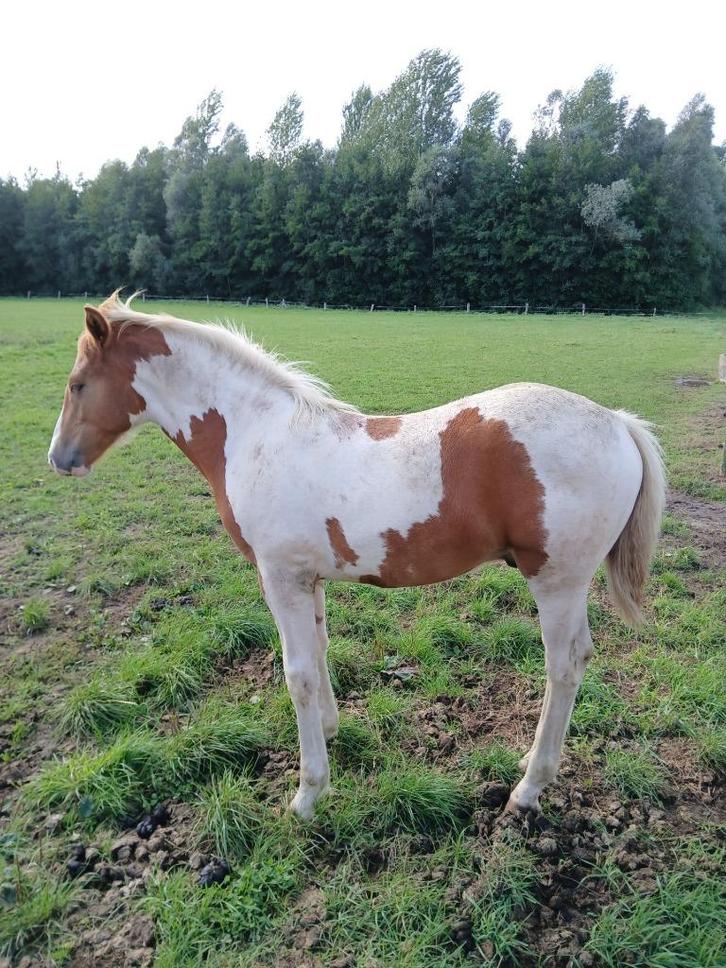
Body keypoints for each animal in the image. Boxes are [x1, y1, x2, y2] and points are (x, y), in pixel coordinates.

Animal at [48, 294, 666, 820]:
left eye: (78, 384)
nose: (60, 459)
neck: (255, 435)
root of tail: (616, 421)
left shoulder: (280, 578)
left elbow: (296, 673)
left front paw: (307, 793)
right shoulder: (308, 578)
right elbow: (320, 651)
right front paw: (330, 729)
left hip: (556, 581)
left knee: (564, 668)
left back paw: (529, 787)